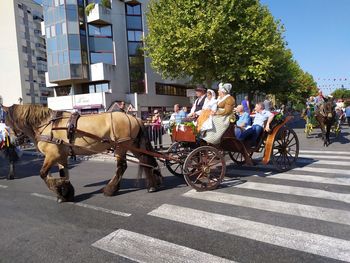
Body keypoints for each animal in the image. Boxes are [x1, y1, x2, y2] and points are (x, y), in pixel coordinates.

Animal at [2, 104, 161, 202]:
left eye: (7, 122)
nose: (13, 142)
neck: (47, 125)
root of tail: (134, 117)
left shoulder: (52, 156)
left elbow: (43, 174)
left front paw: (58, 189)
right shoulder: (61, 156)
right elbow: (63, 174)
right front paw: (66, 192)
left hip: (121, 146)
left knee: (122, 167)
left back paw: (110, 189)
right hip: (133, 146)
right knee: (146, 161)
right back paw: (154, 184)